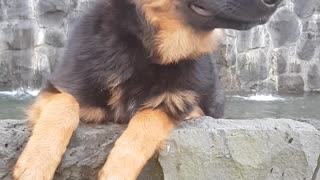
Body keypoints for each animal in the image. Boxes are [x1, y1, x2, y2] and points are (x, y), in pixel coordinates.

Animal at [13, 0, 282, 179]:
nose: (276, 2)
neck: (145, 47)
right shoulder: (58, 89)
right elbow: (65, 104)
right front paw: (36, 164)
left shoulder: (185, 105)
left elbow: (148, 119)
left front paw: (116, 171)